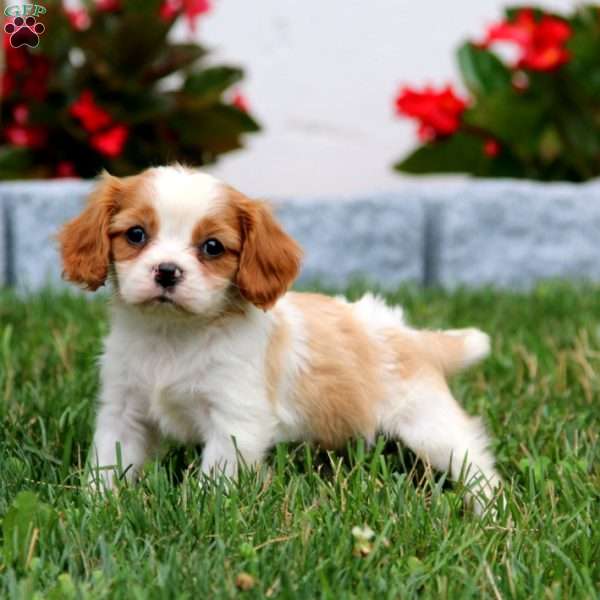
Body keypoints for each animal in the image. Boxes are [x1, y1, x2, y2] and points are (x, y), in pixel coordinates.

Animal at [58, 166, 502, 512]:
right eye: (135, 235)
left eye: (212, 247)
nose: (167, 271)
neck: (173, 334)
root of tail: (416, 337)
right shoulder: (124, 409)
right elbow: (108, 461)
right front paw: (96, 505)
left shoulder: (236, 421)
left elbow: (215, 477)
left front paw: (199, 511)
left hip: (430, 425)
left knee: (475, 462)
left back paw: (490, 512)